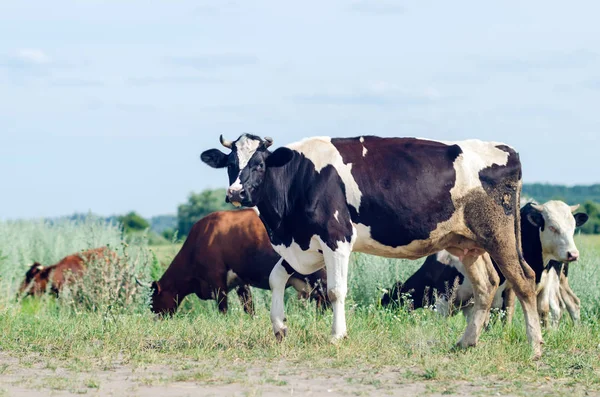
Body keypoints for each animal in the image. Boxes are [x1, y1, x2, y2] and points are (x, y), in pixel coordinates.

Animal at [141, 207, 328, 316]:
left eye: (153, 301)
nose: (156, 319)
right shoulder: (241, 281)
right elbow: (248, 306)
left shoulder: (217, 281)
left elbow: (223, 308)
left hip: (319, 274)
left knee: (325, 297)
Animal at [203, 135, 548, 358]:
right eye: (231, 163)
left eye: (260, 163)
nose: (235, 193)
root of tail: (503, 148)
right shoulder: (305, 245)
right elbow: (276, 278)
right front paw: (279, 328)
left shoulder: (336, 237)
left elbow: (335, 291)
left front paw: (337, 335)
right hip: (468, 244)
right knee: (487, 285)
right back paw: (466, 343)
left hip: (499, 235)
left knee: (524, 279)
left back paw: (534, 347)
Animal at [382, 200, 588, 326]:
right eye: (553, 227)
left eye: (572, 227)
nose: (573, 253)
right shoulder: (470, 302)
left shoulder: (444, 297)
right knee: (559, 307)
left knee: (550, 308)